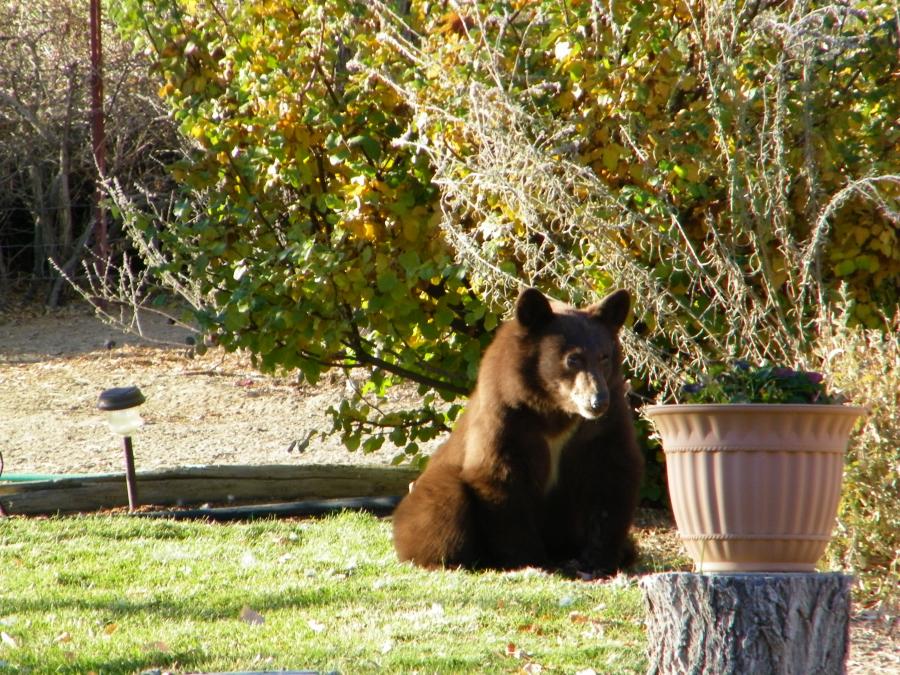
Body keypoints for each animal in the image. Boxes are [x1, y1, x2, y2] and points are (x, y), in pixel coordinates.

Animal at [392, 287, 644, 576]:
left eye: (604, 357)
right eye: (573, 359)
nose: (598, 402)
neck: (555, 411)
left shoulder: (605, 425)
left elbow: (611, 476)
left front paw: (598, 560)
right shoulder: (505, 416)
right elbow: (501, 476)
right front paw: (530, 560)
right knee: (442, 502)